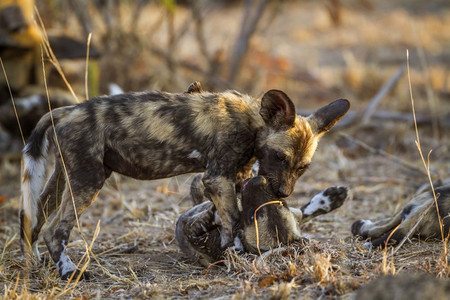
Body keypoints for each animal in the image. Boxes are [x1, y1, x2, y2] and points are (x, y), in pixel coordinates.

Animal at [176, 175, 348, 266]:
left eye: (252, 217)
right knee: (301, 214)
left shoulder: (194, 232)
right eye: (282, 204)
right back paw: (330, 198)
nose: (258, 179)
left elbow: (204, 222)